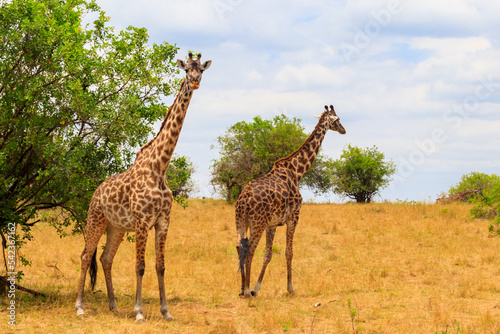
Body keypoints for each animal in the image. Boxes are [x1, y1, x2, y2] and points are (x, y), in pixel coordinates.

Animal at [74, 53, 211, 322]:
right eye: (186, 69)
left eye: (201, 69)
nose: (195, 81)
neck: (160, 167)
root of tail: (96, 192)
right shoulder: (141, 220)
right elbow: (140, 266)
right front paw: (139, 312)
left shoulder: (163, 221)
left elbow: (160, 266)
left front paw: (166, 311)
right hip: (95, 219)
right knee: (86, 255)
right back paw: (80, 307)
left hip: (115, 227)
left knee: (105, 258)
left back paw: (114, 306)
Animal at [233, 104, 344, 298]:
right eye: (337, 119)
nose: (344, 130)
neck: (297, 172)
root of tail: (244, 199)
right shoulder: (294, 217)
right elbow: (289, 252)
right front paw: (290, 288)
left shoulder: (272, 224)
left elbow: (268, 254)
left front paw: (257, 287)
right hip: (257, 223)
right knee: (250, 250)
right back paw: (246, 291)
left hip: (240, 220)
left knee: (240, 247)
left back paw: (242, 289)